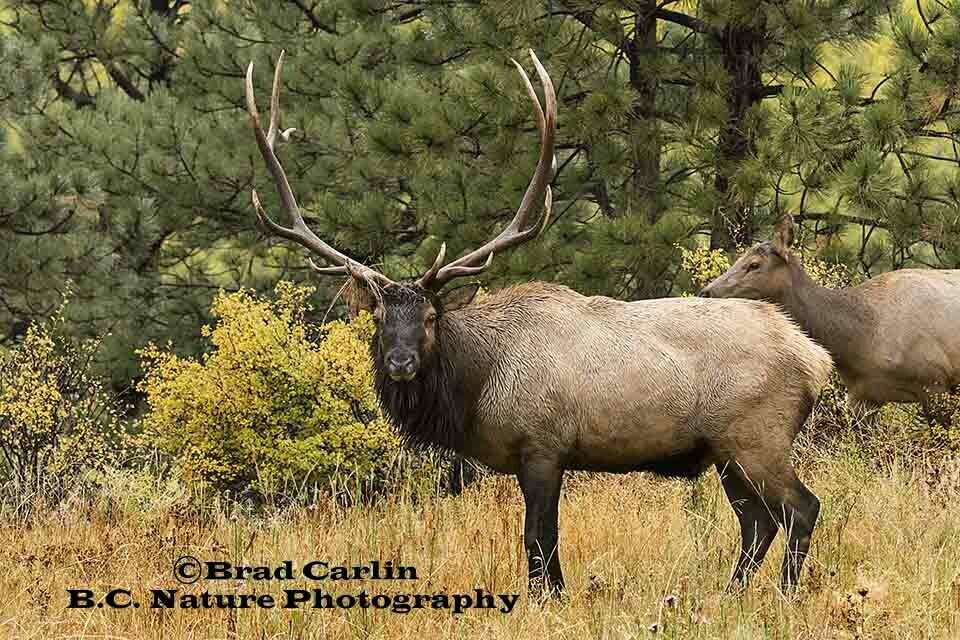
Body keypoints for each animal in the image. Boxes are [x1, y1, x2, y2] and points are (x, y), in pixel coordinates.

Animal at [244, 50, 834, 595]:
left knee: (800, 508)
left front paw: (549, 597)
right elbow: (538, 540)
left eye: (432, 316)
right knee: (757, 523)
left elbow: (539, 538)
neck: (478, 388)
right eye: (382, 318)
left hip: (756, 435)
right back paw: (729, 594)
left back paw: (781, 595)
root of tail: (814, 357)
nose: (402, 362)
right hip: (725, 451)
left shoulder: (543, 446)